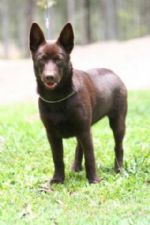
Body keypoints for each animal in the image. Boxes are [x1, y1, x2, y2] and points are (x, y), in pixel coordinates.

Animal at [29, 22, 127, 185]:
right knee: (79, 146)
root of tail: (114, 74)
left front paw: (93, 180)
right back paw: (76, 167)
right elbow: (57, 158)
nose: (49, 77)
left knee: (118, 146)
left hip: (117, 123)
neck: (57, 98)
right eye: (41, 59)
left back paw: (118, 169)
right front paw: (58, 179)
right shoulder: (52, 134)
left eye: (59, 59)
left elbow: (90, 157)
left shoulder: (84, 131)